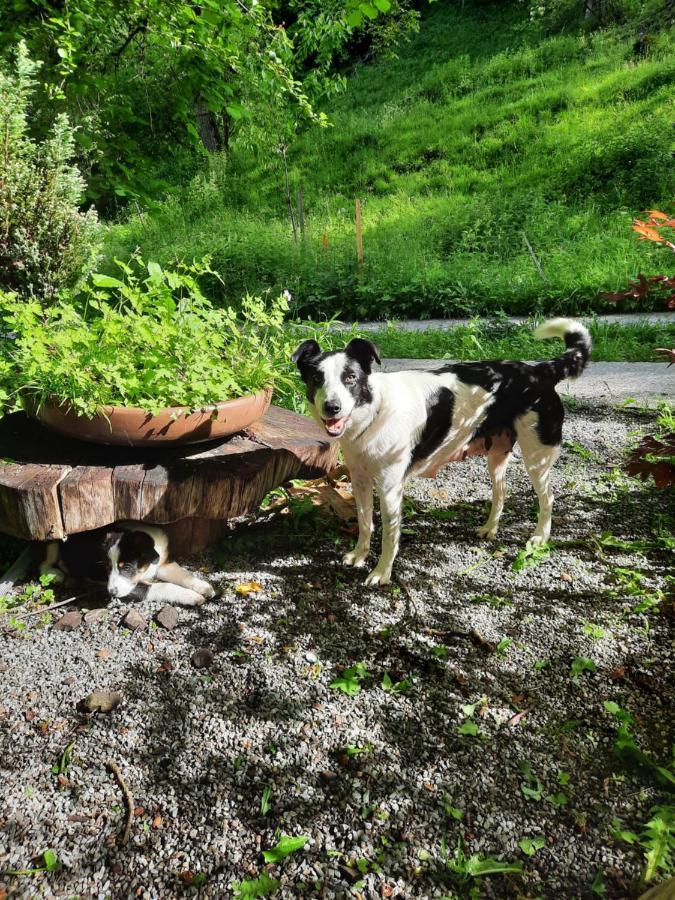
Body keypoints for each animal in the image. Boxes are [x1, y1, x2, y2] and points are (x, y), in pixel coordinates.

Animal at [37, 520, 217, 604]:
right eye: (107, 567)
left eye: (127, 567)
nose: (111, 593)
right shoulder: (131, 588)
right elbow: (163, 586)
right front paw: (192, 597)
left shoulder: (162, 565)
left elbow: (183, 574)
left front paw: (204, 587)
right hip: (53, 537)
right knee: (43, 563)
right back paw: (55, 574)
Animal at [292, 320, 592, 588]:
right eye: (317, 379)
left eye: (351, 378)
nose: (332, 407)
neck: (374, 411)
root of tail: (538, 370)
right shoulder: (360, 481)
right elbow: (366, 523)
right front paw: (360, 555)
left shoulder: (390, 489)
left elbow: (389, 536)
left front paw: (382, 572)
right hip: (497, 456)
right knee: (501, 492)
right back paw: (490, 528)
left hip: (536, 457)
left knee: (547, 498)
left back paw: (540, 536)